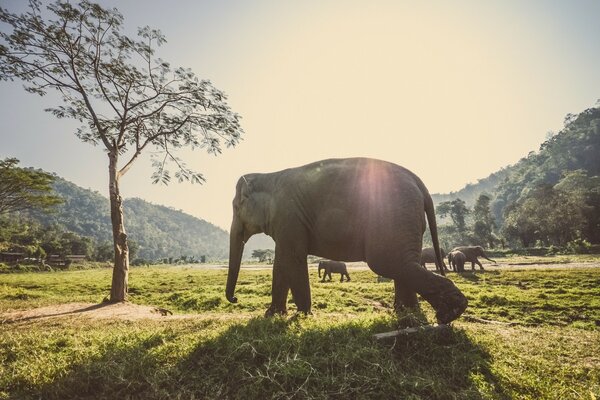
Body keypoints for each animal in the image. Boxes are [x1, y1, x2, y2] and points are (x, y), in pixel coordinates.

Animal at [225, 157, 468, 324]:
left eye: (236, 207)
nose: (235, 299)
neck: (268, 175)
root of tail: (420, 183)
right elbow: (282, 263)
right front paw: (272, 315)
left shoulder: (289, 217)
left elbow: (292, 258)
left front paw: (302, 315)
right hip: (407, 221)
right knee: (405, 262)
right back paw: (408, 315)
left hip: (393, 216)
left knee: (388, 262)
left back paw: (449, 313)